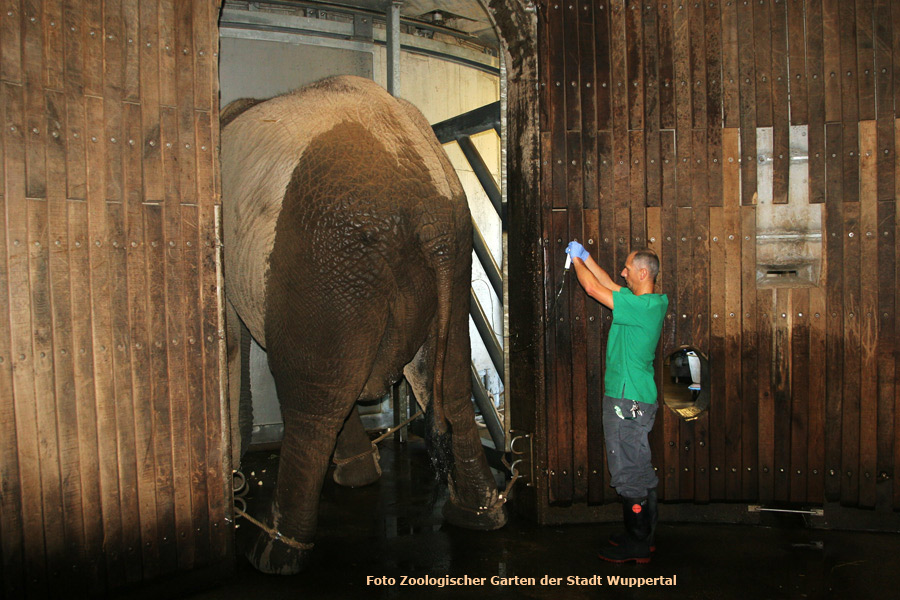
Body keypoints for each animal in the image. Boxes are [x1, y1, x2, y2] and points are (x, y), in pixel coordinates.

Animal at [221, 77, 506, 576]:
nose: (236, 484)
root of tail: (429, 209)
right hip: (442, 255)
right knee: (449, 378)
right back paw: (480, 517)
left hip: (326, 256)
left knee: (316, 395)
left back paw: (273, 555)